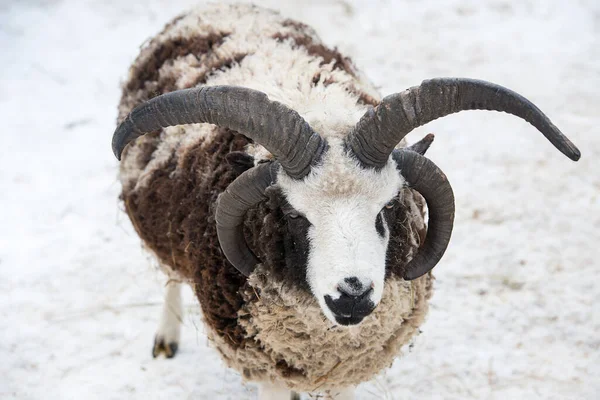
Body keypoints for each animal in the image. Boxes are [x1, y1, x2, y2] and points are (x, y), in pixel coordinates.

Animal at [111, 3, 576, 400]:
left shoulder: (344, 368)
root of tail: (216, 7)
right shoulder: (266, 366)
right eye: (294, 216)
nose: (352, 295)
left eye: (387, 209)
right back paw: (166, 339)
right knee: (170, 274)